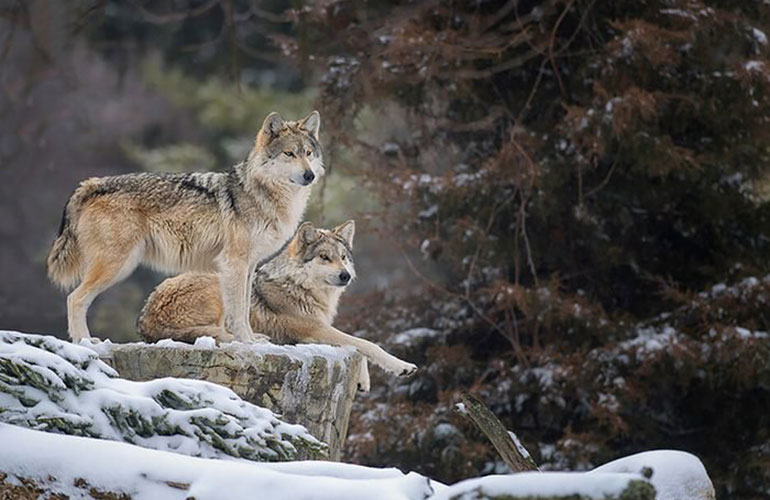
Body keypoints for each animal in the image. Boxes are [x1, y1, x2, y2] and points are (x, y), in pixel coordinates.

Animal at [47, 111, 323, 343]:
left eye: (308, 153)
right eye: (289, 154)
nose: (310, 176)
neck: (263, 194)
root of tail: (92, 183)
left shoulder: (249, 266)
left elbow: (245, 309)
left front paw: (253, 339)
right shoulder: (234, 263)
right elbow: (237, 313)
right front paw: (246, 342)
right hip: (117, 265)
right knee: (75, 298)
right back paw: (85, 341)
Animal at [138, 221, 418, 384]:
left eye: (343, 257)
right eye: (324, 257)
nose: (345, 276)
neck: (301, 286)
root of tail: (145, 321)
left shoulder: (318, 330)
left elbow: (356, 345)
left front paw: (363, 381)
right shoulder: (314, 329)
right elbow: (365, 344)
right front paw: (402, 366)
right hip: (220, 285)